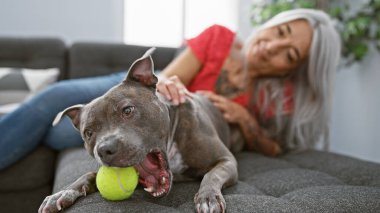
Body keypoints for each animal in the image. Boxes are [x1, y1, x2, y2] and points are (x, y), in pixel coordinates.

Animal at [38, 48, 240, 213]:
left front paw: (208, 197)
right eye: (88, 133)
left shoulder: (226, 160)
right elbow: (87, 175)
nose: (104, 150)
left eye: (127, 110)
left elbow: (212, 174)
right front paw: (63, 193)